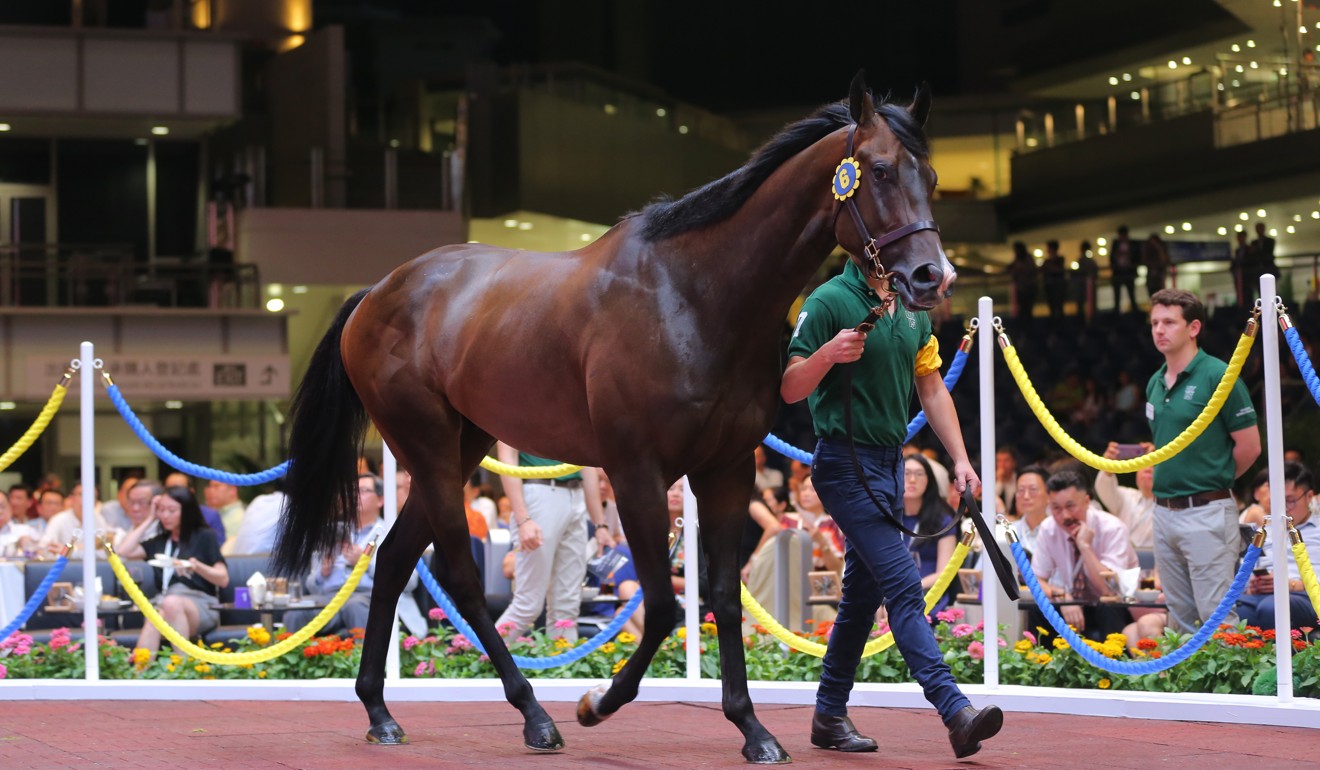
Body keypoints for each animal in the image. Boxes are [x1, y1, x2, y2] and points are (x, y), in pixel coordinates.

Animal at [273, 73, 960, 766]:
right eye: (879, 170)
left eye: (930, 176)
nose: (933, 277)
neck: (697, 296)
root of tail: (377, 291)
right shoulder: (636, 472)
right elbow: (661, 605)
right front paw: (597, 703)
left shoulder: (727, 470)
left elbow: (722, 599)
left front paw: (752, 729)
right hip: (430, 447)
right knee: (459, 576)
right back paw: (534, 715)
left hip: (464, 443)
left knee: (391, 557)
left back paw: (379, 710)